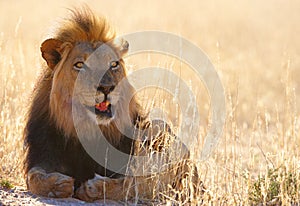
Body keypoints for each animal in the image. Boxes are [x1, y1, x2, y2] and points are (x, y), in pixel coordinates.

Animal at [22, 6, 202, 204]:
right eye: (80, 64)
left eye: (114, 64)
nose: (107, 87)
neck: (88, 130)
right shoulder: (44, 153)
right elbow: (34, 177)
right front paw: (58, 185)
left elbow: (134, 183)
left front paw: (91, 187)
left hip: (159, 129)